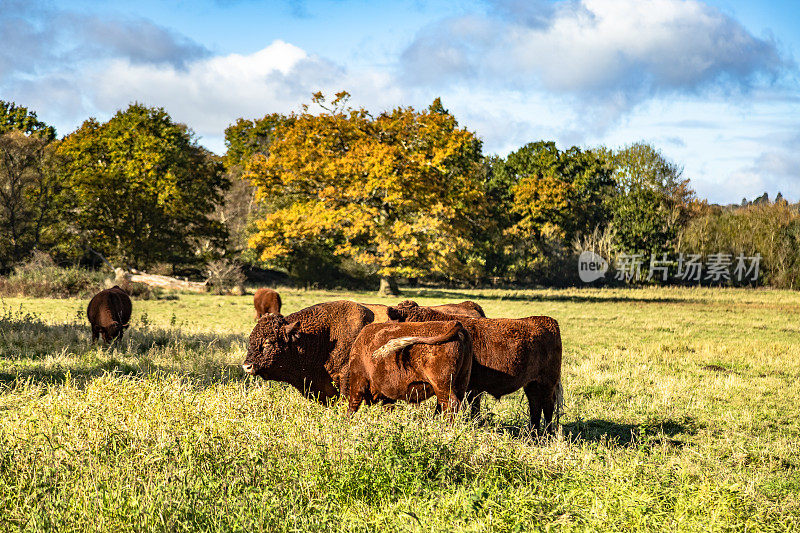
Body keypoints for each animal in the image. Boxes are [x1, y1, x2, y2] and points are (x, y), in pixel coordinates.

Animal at [388, 300, 564, 432]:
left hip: (547, 383)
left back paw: (547, 435)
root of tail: (547, 321)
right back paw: (533, 436)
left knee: (547, 408)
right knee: (535, 407)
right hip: (532, 384)